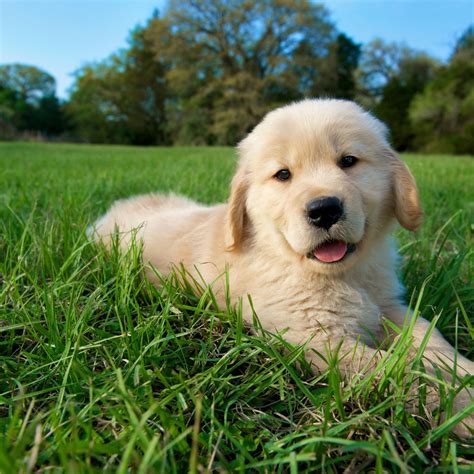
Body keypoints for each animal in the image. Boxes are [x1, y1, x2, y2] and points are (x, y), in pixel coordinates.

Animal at [91, 99, 470, 436]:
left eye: (348, 161)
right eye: (283, 175)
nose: (324, 209)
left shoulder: (388, 306)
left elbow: (430, 338)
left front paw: (461, 372)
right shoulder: (313, 337)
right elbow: (397, 368)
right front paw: (461, 404)